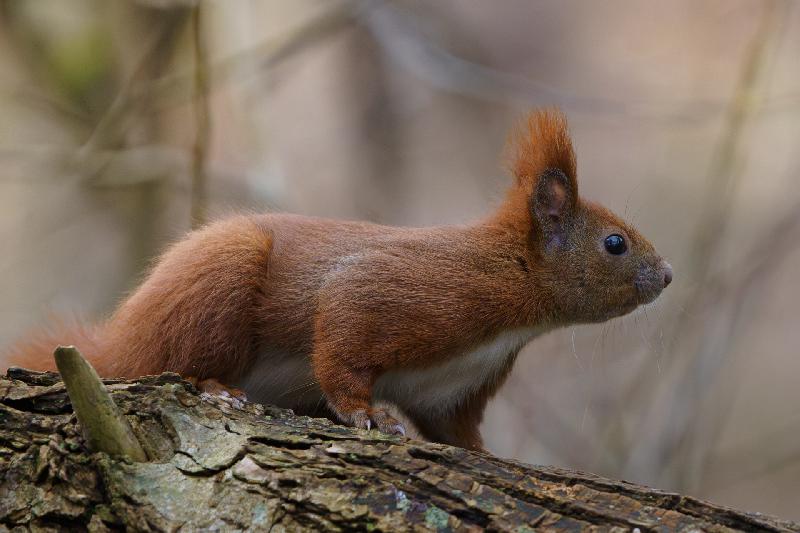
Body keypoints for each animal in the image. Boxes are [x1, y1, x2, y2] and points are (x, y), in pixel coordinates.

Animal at [5, 109, 672, 452]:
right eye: (615, 243)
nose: (667, 275)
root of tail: (117, 342)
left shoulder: (452, 391)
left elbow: (456, 431)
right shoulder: (403, 294)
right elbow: (341, 347)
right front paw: (365, 414)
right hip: (215, 288)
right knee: (165, 362)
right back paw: (214, 387)